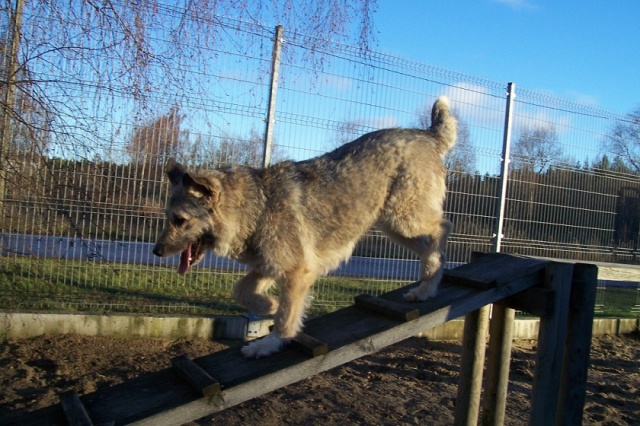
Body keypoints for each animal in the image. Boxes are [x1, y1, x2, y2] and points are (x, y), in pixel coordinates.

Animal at [153, 96, 457, 358]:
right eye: (168, 217)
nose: (156, 252)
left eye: (180, 220)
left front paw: (269, 343)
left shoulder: (297, 272)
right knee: (432, 246)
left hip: (403, 218)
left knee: (443, 227)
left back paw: (430, 270)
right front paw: (269, 305)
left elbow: (286, 318)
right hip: (395, 227)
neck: (254, 208)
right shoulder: (268, 267)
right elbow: (241, 290)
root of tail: (427, 135)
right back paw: (425, 289)